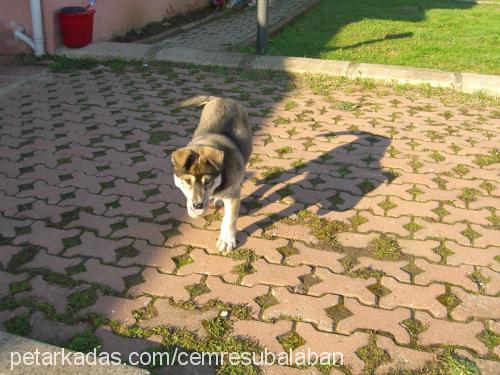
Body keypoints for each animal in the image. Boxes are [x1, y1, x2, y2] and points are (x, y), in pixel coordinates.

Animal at [170, 95, 252, 253]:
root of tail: (223, 98)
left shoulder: (233, 193)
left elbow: (229, 219)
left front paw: (226, 240)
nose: (197, 205)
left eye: (207, 181)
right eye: (187, 181)